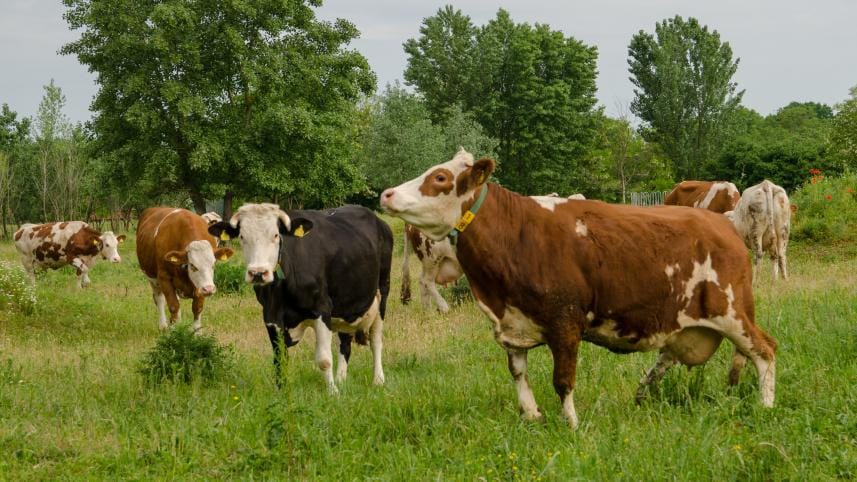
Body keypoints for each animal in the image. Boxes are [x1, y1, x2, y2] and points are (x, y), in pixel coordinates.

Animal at [208, 203, 393, 393]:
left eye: (276, 235)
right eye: (242, 236)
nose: (258, 273)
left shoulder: (322, 308)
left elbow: (324, 359)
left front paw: (332, 392)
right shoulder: (270, 315)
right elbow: (279, 358)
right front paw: (281, 390)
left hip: (382, 291)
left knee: (376, 340)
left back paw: (378, 380)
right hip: (346, 302)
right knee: (345, 343)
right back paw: (341, 379)